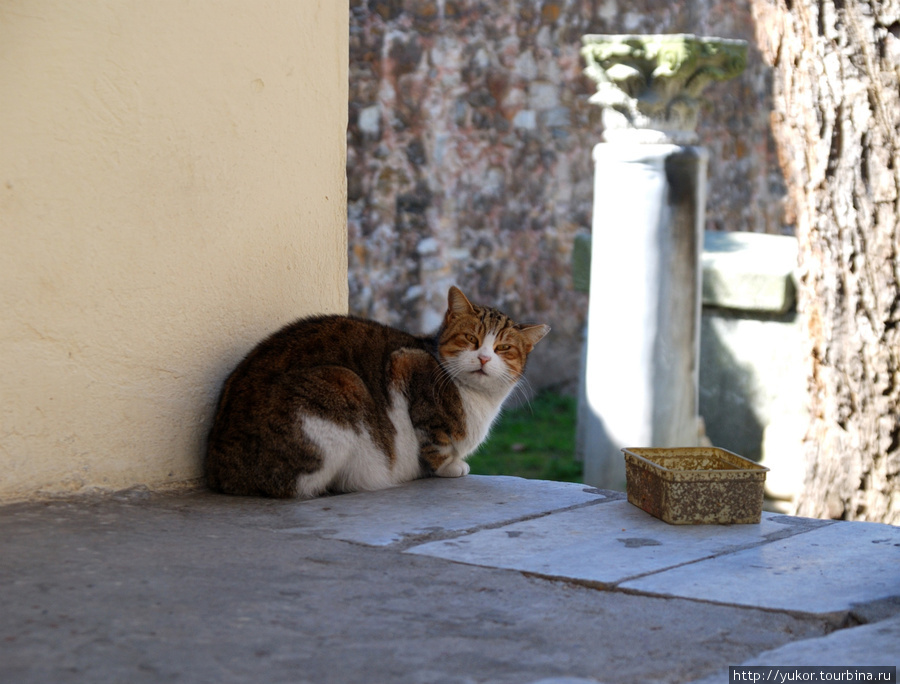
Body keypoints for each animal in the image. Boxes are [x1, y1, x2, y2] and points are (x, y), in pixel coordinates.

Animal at [206, 288, 548, 496]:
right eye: (470, 339)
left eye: (503, 348)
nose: (484, 358)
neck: (477, 399)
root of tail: (221, 469)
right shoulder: (406, 364)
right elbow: (433, 439)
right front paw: (449, 467)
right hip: (341, 384)